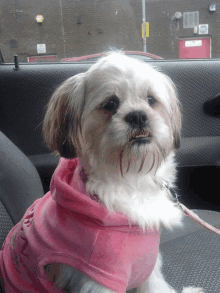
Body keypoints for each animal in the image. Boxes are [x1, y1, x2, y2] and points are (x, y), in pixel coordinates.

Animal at [0, 52, 205, 292]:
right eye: (110, 104)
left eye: (151, 100)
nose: (138, 116)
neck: (130, 181)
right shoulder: (99, 276)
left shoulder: (148, 265)